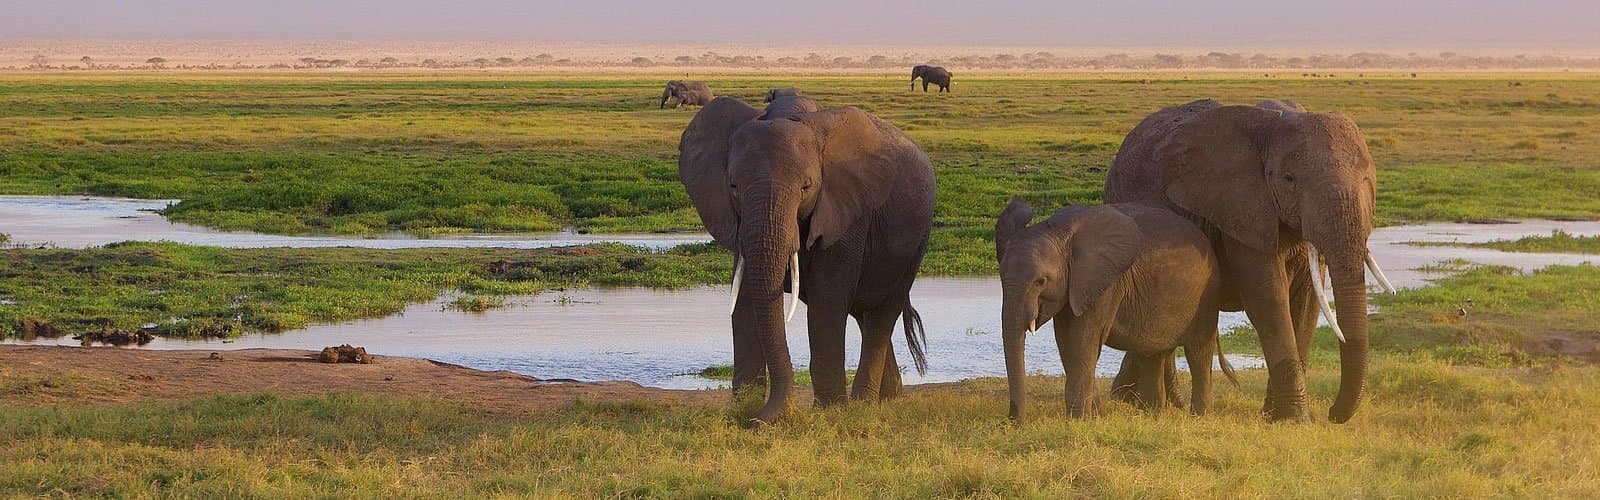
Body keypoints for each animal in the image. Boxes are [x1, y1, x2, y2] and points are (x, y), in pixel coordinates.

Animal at [679, 97, 938, 425]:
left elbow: (827, 301)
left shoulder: (847, 213)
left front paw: (830, 412)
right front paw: (744, 409)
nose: (756, 422)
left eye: (806, 186)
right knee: (863, 315)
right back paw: (889, 397)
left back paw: (864, 404)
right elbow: (747, 298)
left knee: (882, 314)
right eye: (734, 186)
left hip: (914, 244)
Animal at [994, 198, 1237, 423]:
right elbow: (1066, 342)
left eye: (1041, 281)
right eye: (1001, 276)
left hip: (1207, 295)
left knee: (1198, 352)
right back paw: (1154, 416)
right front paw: (1094, 417)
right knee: (1152, 354)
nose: (1013, 422)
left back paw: (1200, 417)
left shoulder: (1105, 284)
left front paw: (1079, 421)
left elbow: (1083, 341)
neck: (1058, 231)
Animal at [1103, 99, 1396, 423]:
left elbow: (1307, 301)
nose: (1332, 414)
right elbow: (1269, 299)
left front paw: (1276, 417)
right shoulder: (1239, 210)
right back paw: (1143, 402)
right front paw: (1297, 421)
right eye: (1289, 180)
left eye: (1367, 180)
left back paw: (1138, 400)